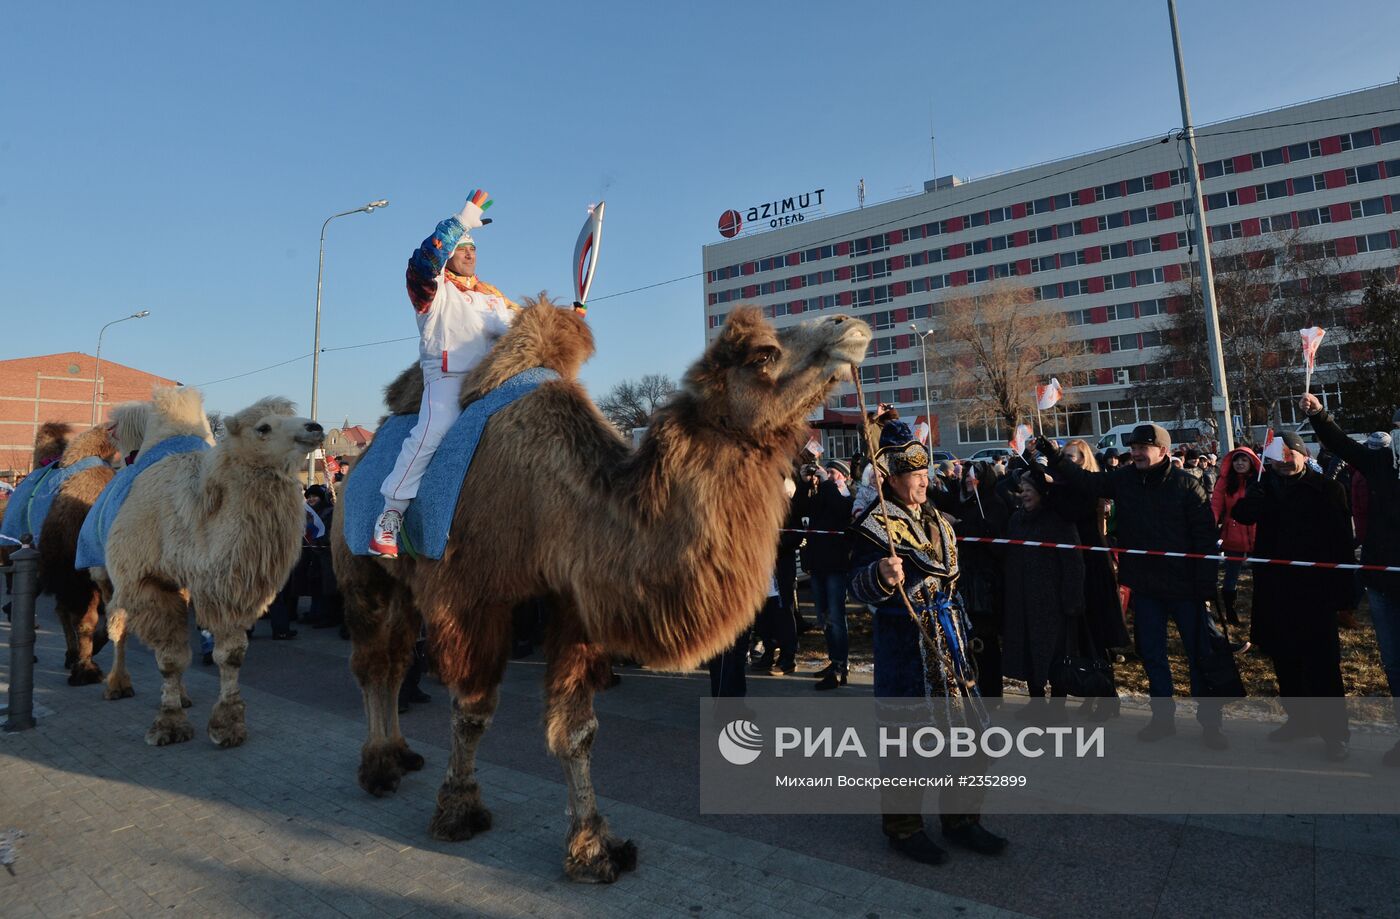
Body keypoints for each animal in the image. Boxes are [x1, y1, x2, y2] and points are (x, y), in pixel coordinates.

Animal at [103, 386, 324, 745]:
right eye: (263, 427)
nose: (314, 427)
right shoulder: (146, 581)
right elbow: (169, 658)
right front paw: (168, 725)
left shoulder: (228, 587)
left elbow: (229, 655)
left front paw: (228, 726)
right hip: (110, 574)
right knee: (117, 626)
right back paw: (116, 685)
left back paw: (183, 695)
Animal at [331, 298, 868, 879]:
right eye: (763, 354)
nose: (849, 325)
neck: (558, 501)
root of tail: (358, 463)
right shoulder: (472, 597)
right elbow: (473, 712)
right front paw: (459, 810)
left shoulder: (576, 605)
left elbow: (578, 730)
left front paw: (592, 847)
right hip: (363, 573)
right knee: (373, 662)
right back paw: (378, 767)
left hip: (406, 591)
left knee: (394, 660)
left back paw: (399, 754)